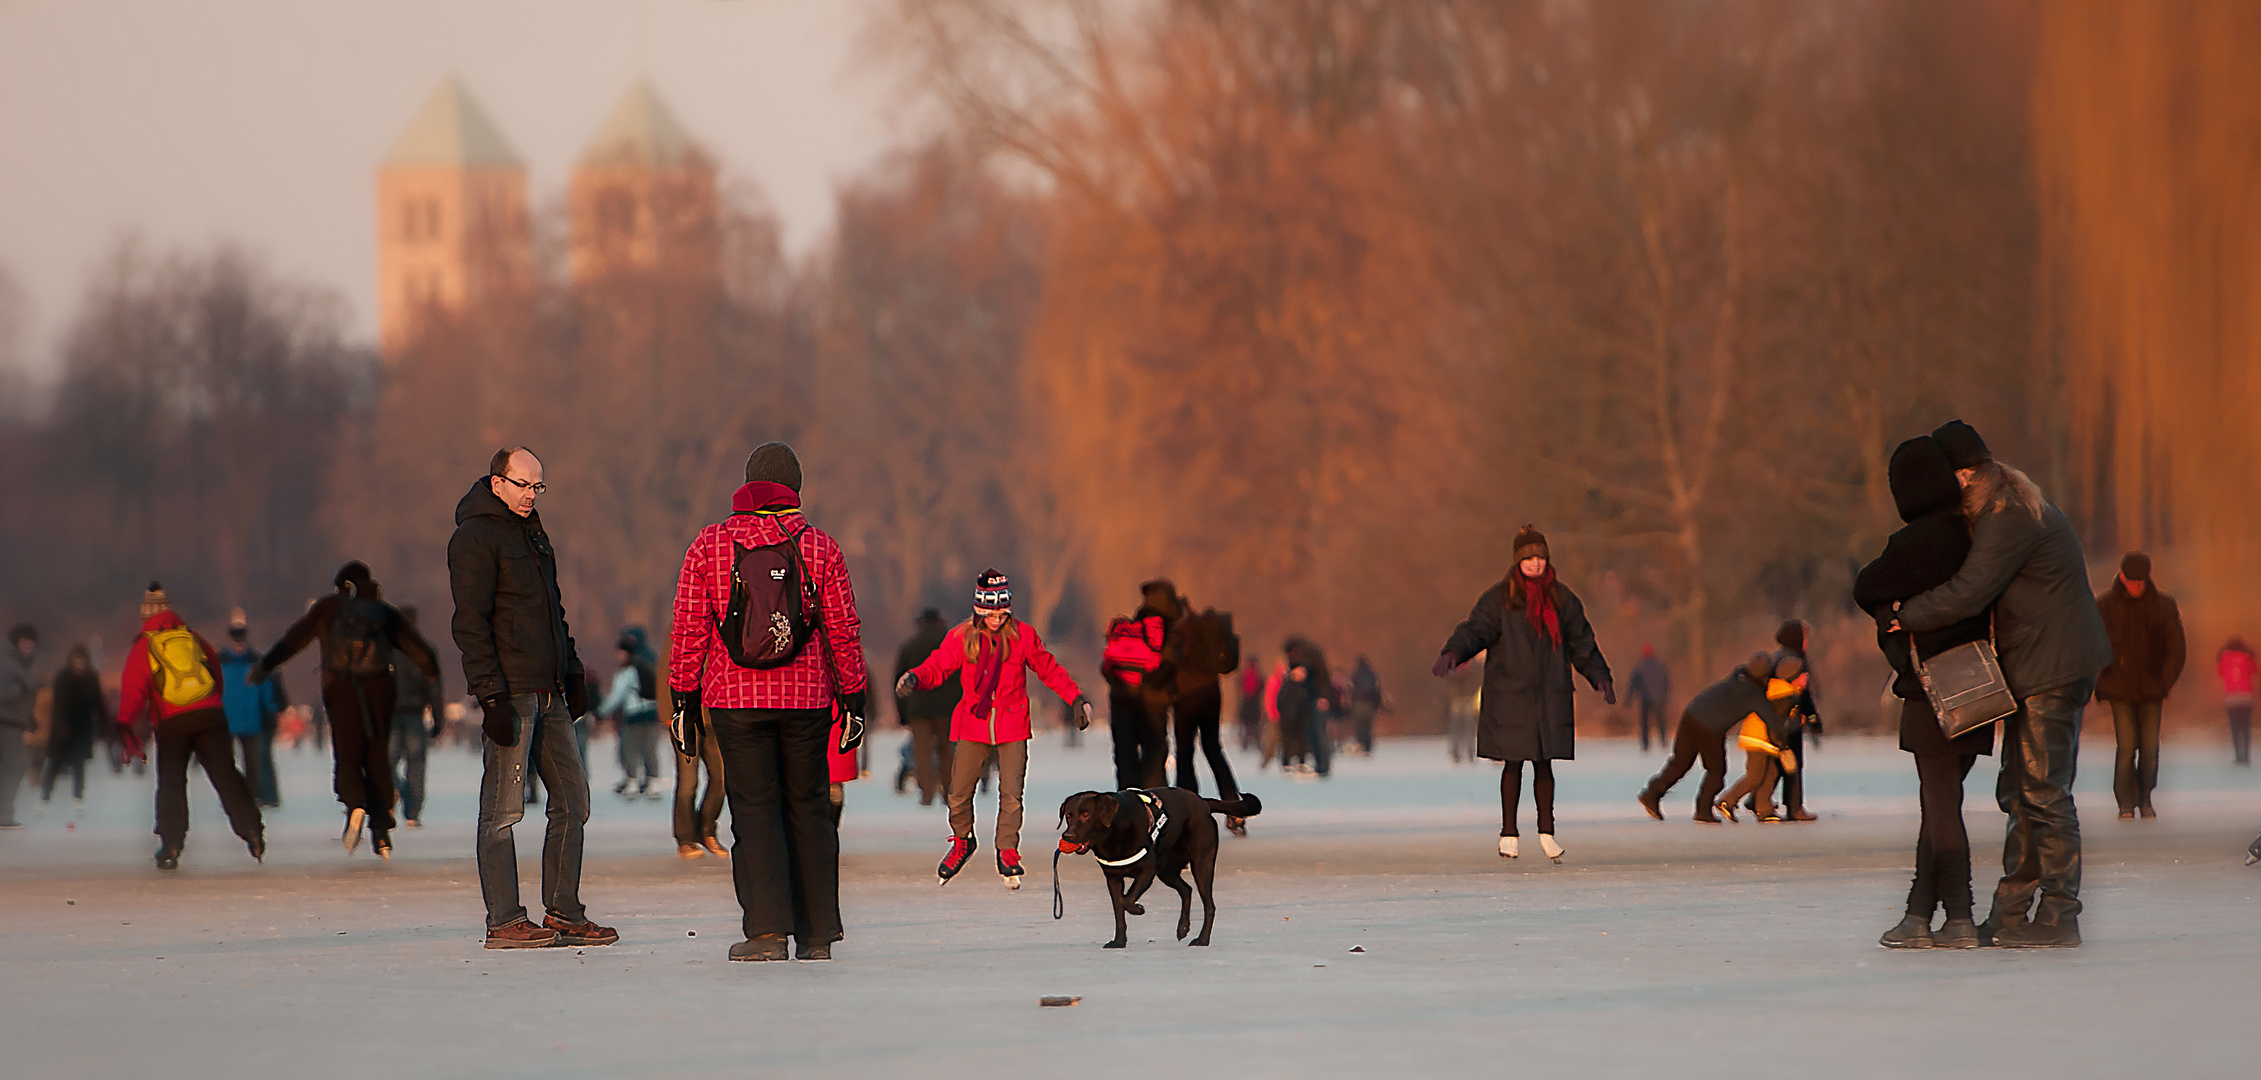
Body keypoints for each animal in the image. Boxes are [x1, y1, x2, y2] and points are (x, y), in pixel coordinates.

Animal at [1053, 786, 1257, 944]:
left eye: (1086, 814)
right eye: (1068, 816)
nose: (1068, 836)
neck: (1114, 834)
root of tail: (1204, 803)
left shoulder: (1147, 872)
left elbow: (1126, 900)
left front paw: (1138, 909)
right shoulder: (1113, 877)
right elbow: (1119, 909)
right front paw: (1119, 942)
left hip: (1201, 864)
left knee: (1209, 905)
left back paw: (1202, 940)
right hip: (1166, 870)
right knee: (1186, 890)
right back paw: (1183, 928)